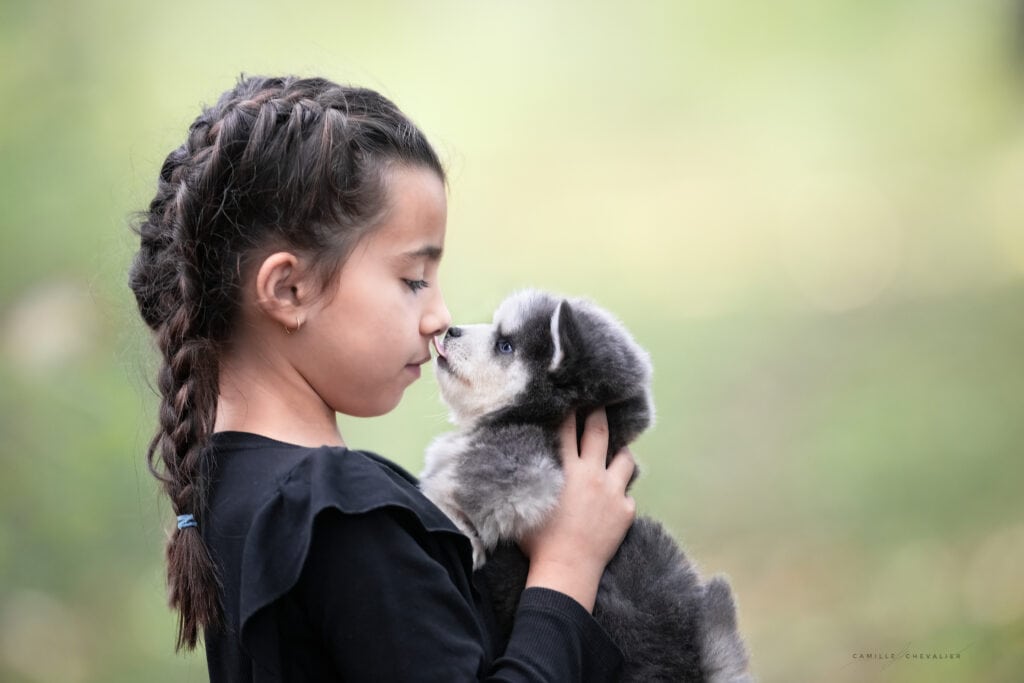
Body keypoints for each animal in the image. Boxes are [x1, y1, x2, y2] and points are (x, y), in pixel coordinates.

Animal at [417, 290, 753, 679]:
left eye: (505, 346)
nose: (450, 330)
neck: (537, 417)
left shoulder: (523, 466)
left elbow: (462, 491)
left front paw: (452, 522)